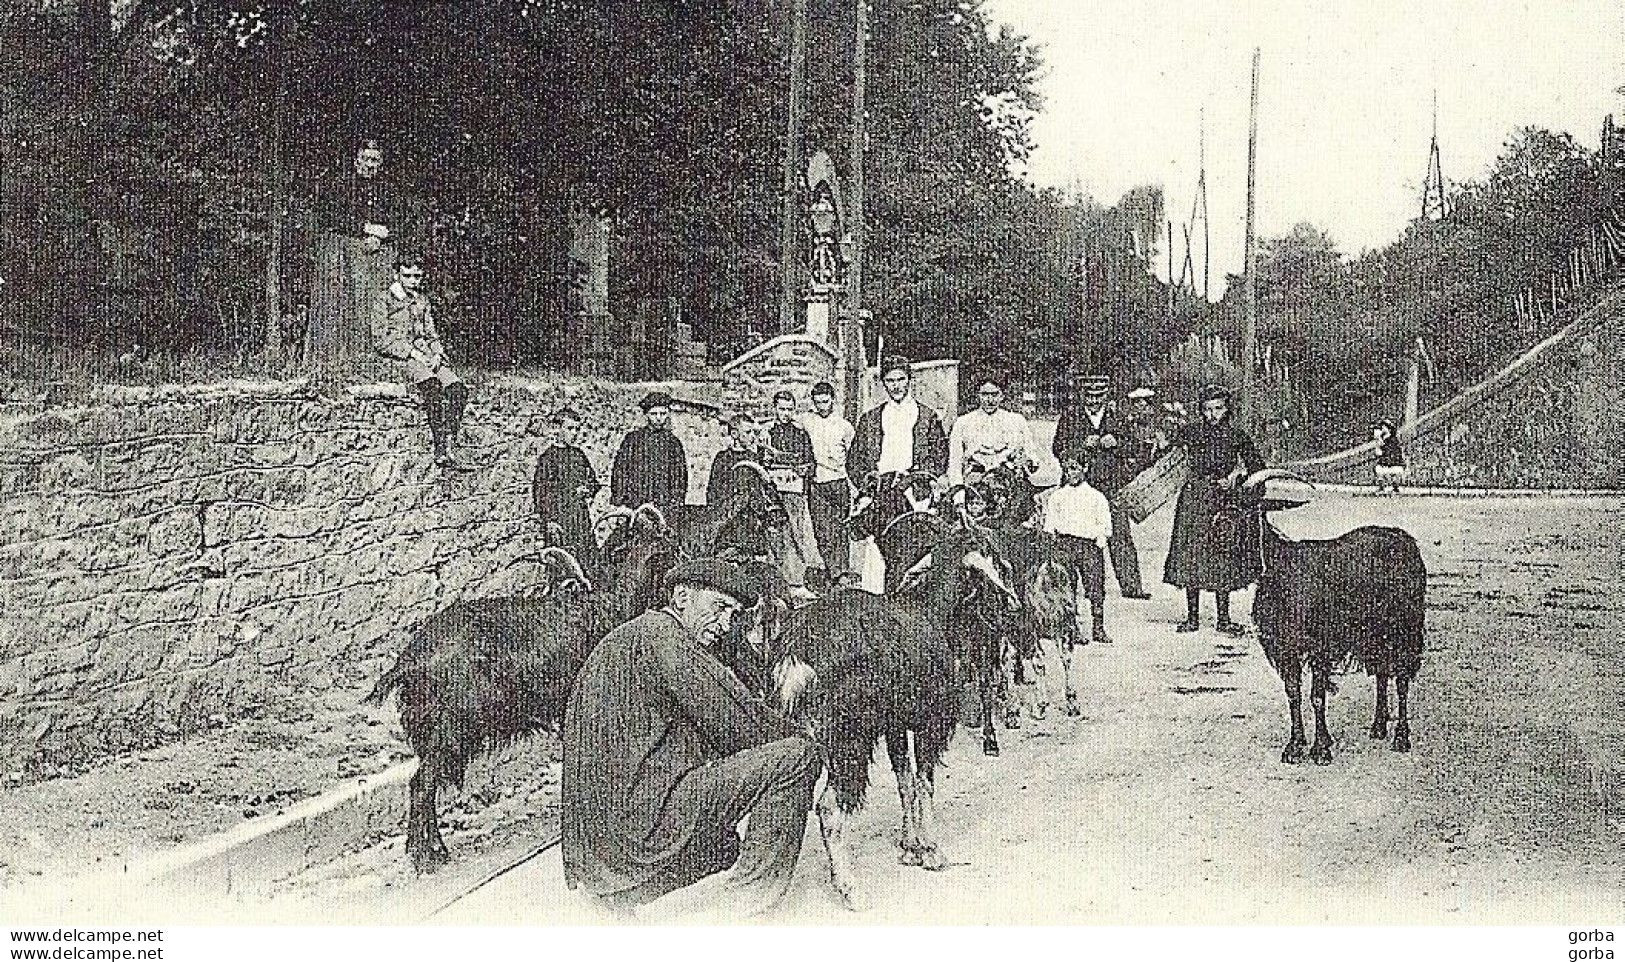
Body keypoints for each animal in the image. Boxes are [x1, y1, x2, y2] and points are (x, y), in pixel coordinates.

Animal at [1241, 471, 1423, 763]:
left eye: (1250, 509)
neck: (1282, 571)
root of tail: (1404, 539)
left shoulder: (1320, 647)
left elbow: (1317, 696)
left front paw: (1321, 748)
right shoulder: (1286, 648)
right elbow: (1293, 694)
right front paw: (1294, 746)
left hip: (1403, 628)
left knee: (1402, 677)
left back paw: (1401, 738)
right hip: (1374, 634)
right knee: (1382, 672)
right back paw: (1378, 726)